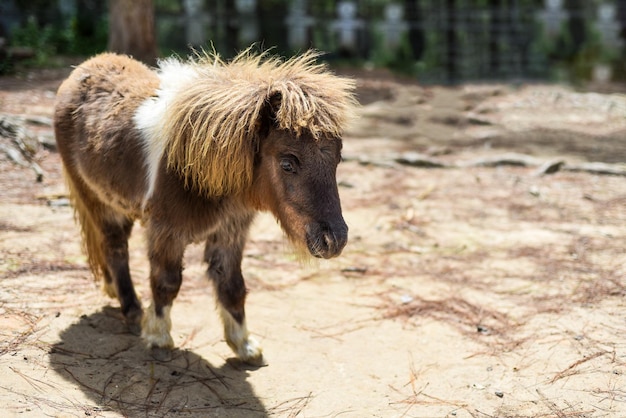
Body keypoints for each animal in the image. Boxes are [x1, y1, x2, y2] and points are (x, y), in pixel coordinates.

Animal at [53, 47, 356, 364]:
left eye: (337, 159)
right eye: (288, 163)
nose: (334, 240)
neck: (193, 169)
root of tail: (83, 69)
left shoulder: (230, 232)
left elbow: (232, 285)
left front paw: (244, 345)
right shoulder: (166, 232)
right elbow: (167, 281)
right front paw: (158, 337)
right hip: (97, 201)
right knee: (115, 248)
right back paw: (133, 310)